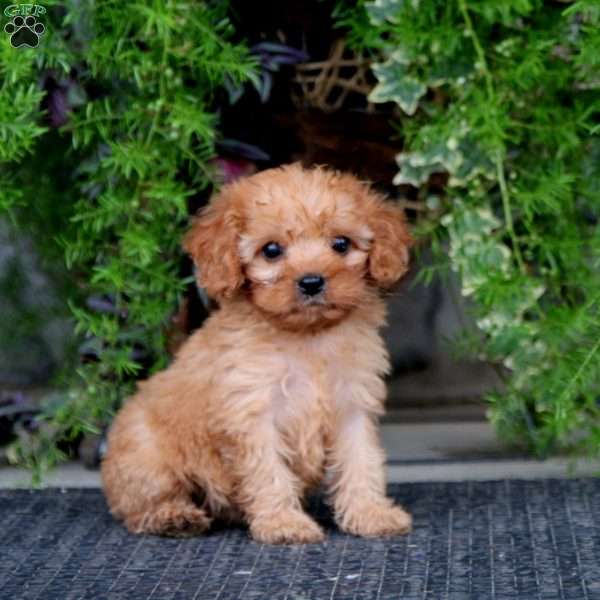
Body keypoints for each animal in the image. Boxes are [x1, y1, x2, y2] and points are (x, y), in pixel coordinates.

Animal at [102, 163, 412, 544]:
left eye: (341, 244)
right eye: (271, 250)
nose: (312, 282)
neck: (307, 338)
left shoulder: (352, 404)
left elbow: (361, 461)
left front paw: (370, 513)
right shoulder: (252, 411)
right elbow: (268, 472)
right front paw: (284, 523)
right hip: (147, 456)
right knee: (139, 505)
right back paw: (174, 516)